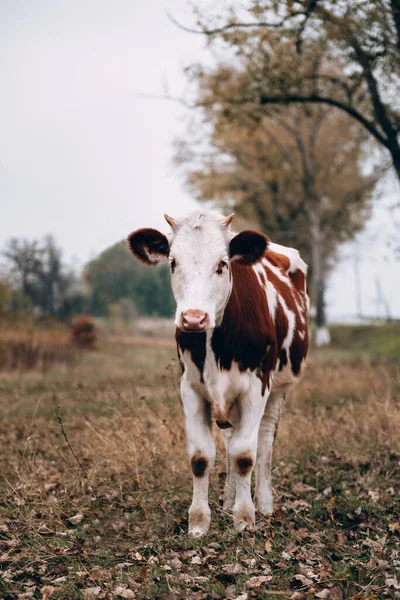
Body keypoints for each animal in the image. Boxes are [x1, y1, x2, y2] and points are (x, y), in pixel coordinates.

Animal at [128, 210, 310, 536]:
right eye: (173, 262)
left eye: (222, 264)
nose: (193, 318)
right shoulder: (190, 386)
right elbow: (201, 456)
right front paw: (199, 522)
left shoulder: (256, 386)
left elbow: (245, 455)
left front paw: (245, 518)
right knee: (229, 439)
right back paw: (228, 499)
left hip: (279, 389)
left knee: (265, 441)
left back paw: (264, 504)